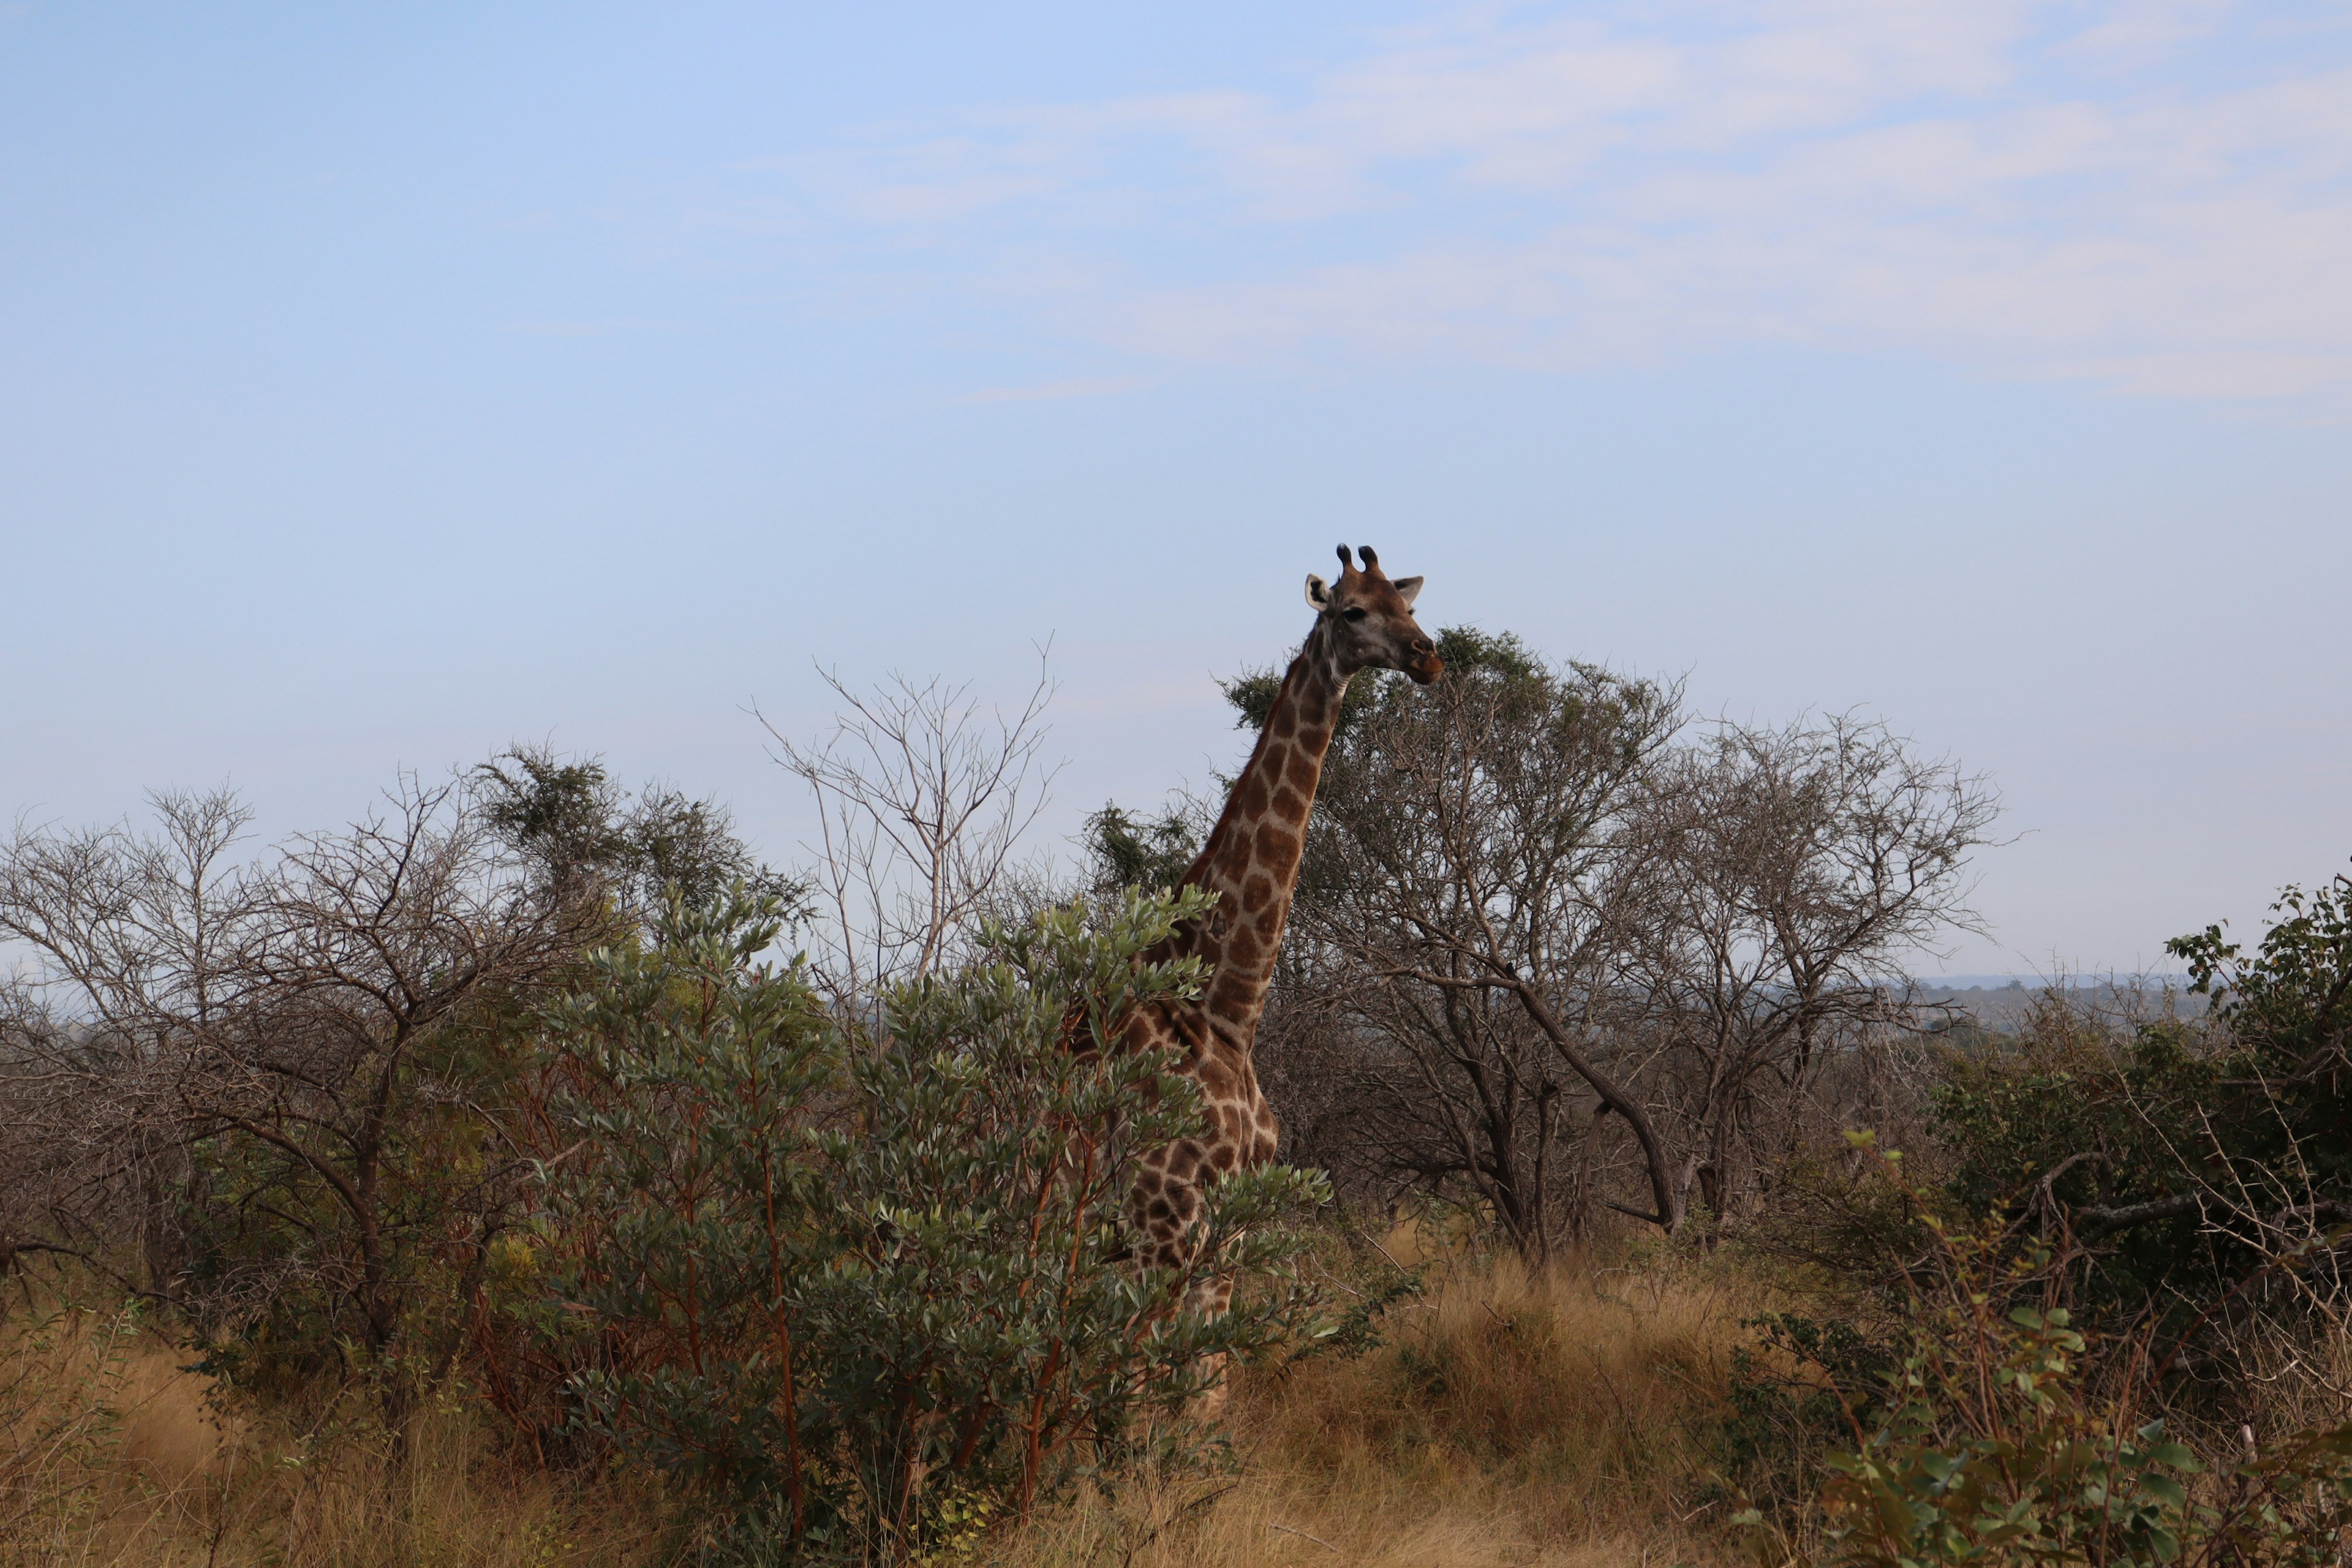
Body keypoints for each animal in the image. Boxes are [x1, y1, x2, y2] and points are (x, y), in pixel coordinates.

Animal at [1115, 543, 1430, 1410]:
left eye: (1411, 603)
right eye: (1353, 610)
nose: (1428, 655)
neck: (1229, 1006)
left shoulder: (1230, 1228)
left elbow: (1207, 1391)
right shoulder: (1166, 1227)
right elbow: (1153, 1394)